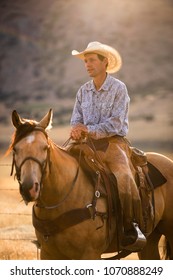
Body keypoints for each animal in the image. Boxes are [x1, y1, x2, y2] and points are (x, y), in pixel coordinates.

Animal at [7, 109, 173, 260]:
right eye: (15, 149)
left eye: (45, 147)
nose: (29, 188)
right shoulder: (48, 254)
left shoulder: (90, 253)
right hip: (150, 239)